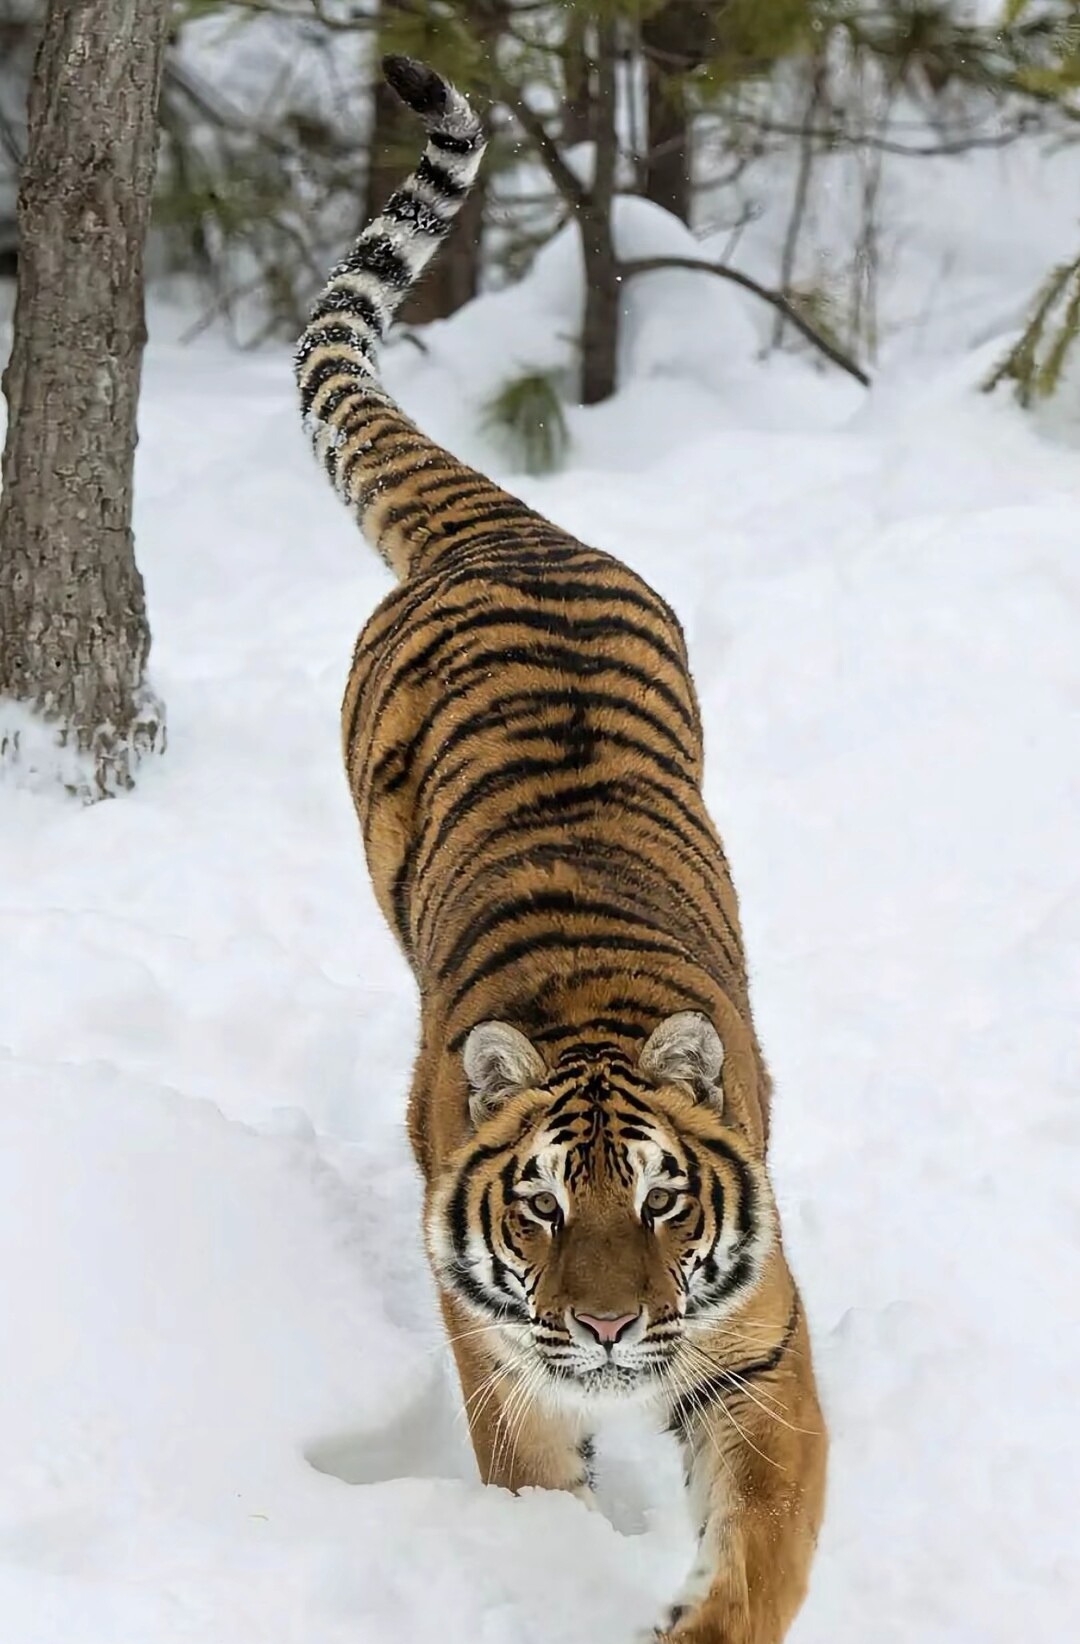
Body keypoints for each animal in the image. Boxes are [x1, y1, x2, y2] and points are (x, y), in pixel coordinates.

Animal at [294, 51, 825, 1644]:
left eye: (660, 1200)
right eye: (538, 1208)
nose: (602, 1325)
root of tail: (505, 525)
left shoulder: (762, 1348)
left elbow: (761, 1552)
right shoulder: (506, 1364)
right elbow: (538, 1483)